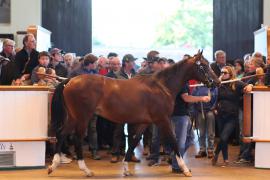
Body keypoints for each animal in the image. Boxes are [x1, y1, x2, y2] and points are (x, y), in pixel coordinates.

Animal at [47, 50, 220, 177]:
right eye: (204, 65)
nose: (217, 82)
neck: (161, 86)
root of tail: (70, 80)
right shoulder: (162, 120)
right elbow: (174, 141)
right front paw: (185, 169)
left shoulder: (145, 122)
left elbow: (134, 142)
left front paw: (126, 169)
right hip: (82, 117)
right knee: (76, 138)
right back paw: (86, 170)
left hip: (73, 117)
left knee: (61, 133)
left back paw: (53, 166)